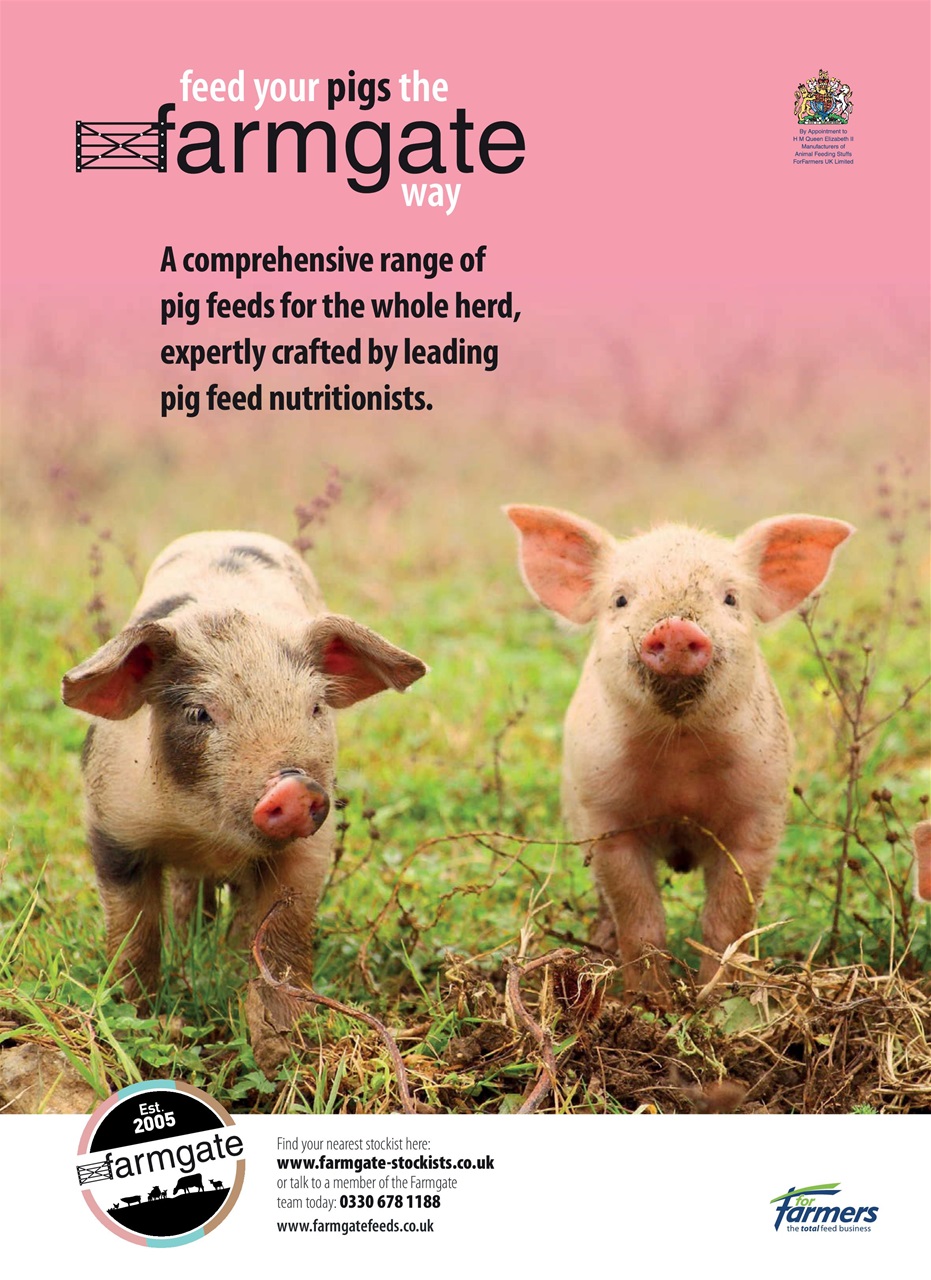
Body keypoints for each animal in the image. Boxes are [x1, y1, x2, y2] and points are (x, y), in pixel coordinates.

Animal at [62, 532, 427, 1071]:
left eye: (314, 708)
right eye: (198, 713)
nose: (294, 786)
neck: (206, 832)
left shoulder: (309, 849)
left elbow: (283, 938)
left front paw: (284, 1040)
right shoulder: (112, 825)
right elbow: (133, 931)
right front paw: (136, 1015)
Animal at [505, 504, 854, 993]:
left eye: (730, 598)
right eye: (620, 600)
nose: (674, 627)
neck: (680, 757)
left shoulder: (759, 814)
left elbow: (728, 919)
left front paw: (716, 997)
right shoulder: (605, 819)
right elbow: (640, 918)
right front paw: (648, 1000)